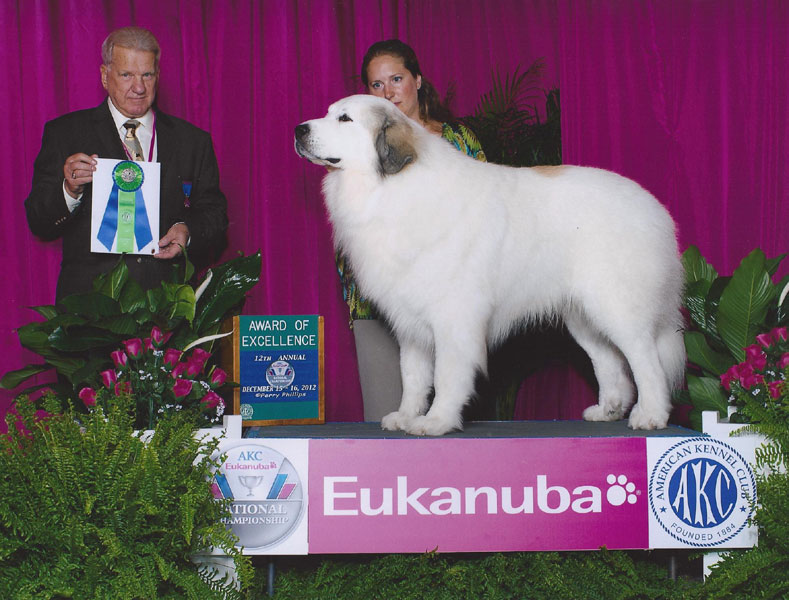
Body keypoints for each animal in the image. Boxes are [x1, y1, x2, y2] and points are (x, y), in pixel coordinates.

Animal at [296, 95, 684, 436]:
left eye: (345, 118)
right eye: (328, 113)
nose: (299, 129)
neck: (391, 188)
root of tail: (654, 207)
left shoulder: (454, 317)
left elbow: (446, 374)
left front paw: (436, 422)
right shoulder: (411, 321)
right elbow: (413, 376)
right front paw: (405, 416)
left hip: (617, 306)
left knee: (646, 360)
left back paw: (650, 415)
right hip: (583, 316)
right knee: (609, 361)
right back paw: (608, 409)